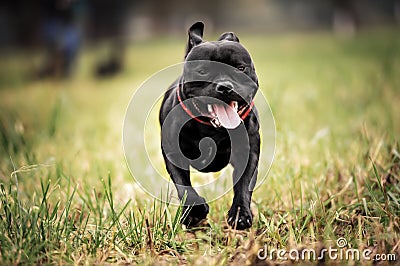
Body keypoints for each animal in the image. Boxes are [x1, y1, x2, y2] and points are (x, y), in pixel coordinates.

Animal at [159, 21, 260, 230]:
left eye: (240, 67)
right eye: (202, 71)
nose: (225, 86)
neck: (212, 129)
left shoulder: (249, 153)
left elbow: (243, 184)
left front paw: (240, 214)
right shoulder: (173, 154)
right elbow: (184, 185)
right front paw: (194, 212)